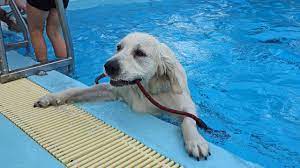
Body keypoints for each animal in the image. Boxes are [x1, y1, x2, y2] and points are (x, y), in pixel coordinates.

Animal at [34, 32, 210, 159]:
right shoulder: (111, 91)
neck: (144, 89)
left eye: (140, 53)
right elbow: (76, 90)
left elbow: (188, 120)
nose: (108, 66)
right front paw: (52, 97)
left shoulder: (184, 104)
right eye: (118, 47)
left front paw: (195, 141)